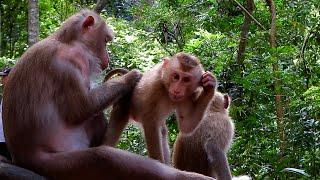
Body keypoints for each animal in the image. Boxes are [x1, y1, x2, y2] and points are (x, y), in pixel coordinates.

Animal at [2, 10, 214, 180]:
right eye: (105, 41)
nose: (106, 59)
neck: (67, 42)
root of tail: (22, 159)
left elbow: (186, 125)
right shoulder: (67, 64)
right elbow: (81, 109)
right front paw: (131, 77)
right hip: (58, 165)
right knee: (105, 157)